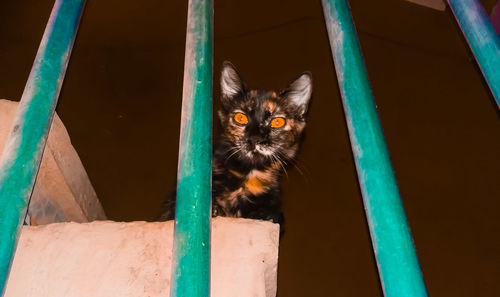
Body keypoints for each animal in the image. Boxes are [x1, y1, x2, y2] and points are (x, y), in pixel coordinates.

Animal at [157, 59, 312, 227]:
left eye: (277, 122)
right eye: (240, 118)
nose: (255, 138)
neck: (250, 172)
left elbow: (276, 215)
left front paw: (265, 214)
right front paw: (215, 209)